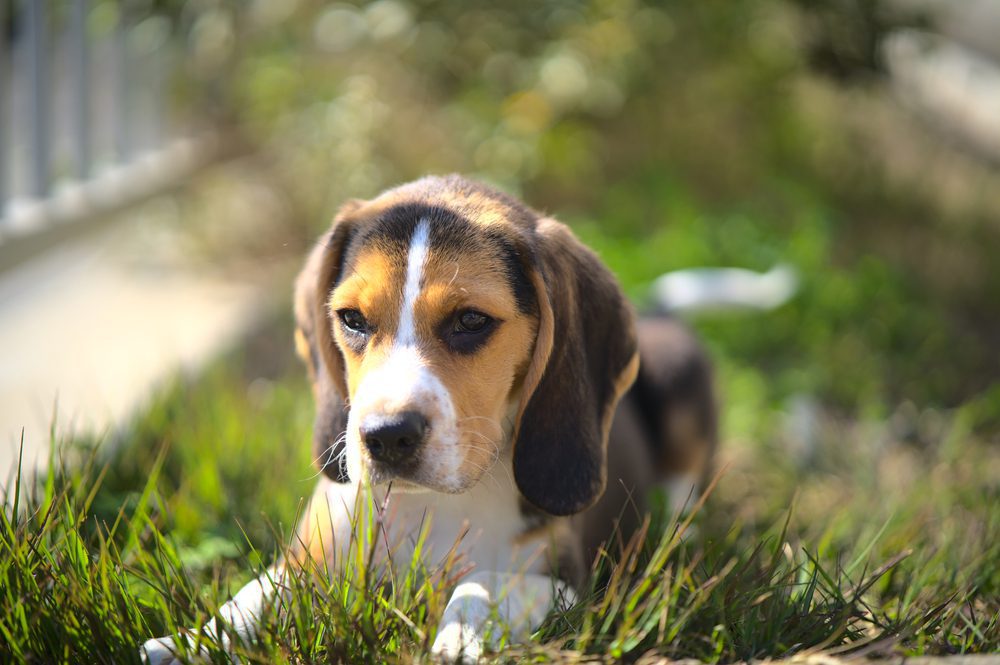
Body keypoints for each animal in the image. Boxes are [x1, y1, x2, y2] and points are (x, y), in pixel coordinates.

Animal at [143, 174, 720, 660]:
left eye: (471, 320)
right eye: (351, 319)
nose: (386, 437)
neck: (437, 505)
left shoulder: (566, 583)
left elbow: (480, 586)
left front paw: (459, 640)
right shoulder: (309, 561)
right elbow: (252, 596)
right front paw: (186, 642)